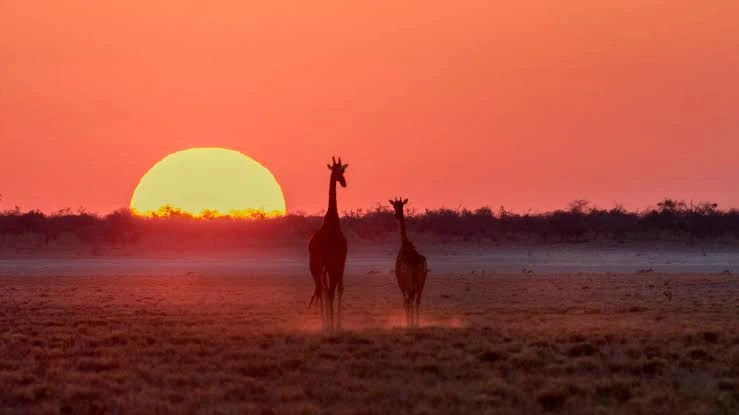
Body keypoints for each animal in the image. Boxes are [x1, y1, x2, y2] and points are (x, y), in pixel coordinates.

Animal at [390, 198, 428, 328]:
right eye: (395, 205)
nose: (396, 215)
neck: (405, 243)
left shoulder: (400, 281)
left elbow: (405, 301)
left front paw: (408, 322)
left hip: (409, 282)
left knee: (410, 300)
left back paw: (412, 323)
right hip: (422, 281)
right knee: (418, 300)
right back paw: (417, 323)